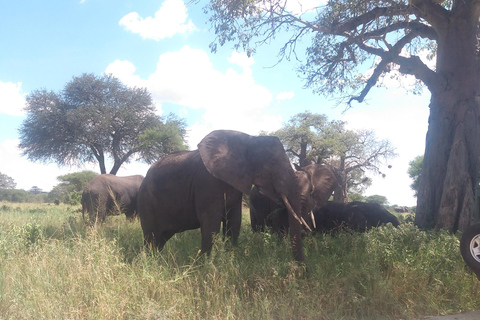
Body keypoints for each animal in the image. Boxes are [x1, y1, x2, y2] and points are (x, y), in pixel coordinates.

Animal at [135, 129, 308, 260]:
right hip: (146, 202)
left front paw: (231, 260)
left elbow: (234, 222)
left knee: (160, 239)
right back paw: (150, 262)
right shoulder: (207, 183)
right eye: (271, 163)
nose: (302, 269)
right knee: (151, 237)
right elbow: (211, 224)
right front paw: (204, 266)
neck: (249, 140)